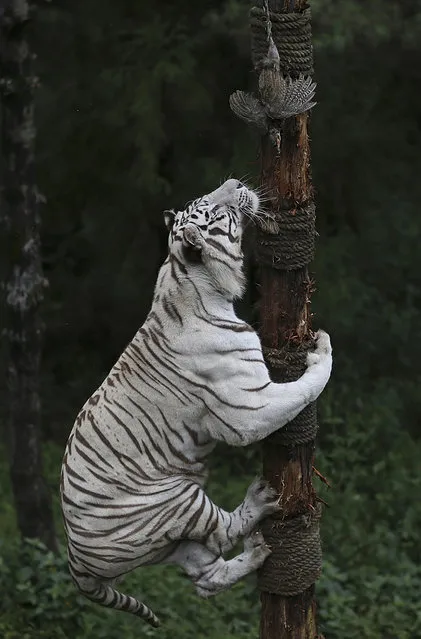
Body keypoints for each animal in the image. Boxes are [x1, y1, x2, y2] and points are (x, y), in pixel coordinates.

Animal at [60, 178, 332, 628]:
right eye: (216, 210)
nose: (235, 182)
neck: (186, 277)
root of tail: (74, 562)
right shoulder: (249, 410)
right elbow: (303, 388)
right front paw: (321, 352)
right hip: (176, 500)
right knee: (221, 532)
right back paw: (259, 503)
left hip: (170, 543)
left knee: (206, 580)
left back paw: (256, 554)